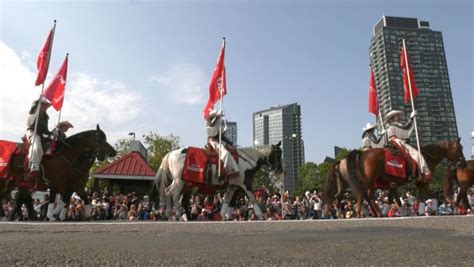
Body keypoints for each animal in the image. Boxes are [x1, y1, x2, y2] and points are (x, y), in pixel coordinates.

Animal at [324, 139, 464, 219]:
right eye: (459, 148)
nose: (462, 162)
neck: (427, 156)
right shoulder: (423, 182)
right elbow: (419, 199)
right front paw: (416, 211)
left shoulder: (407, 184)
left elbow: (433, 196)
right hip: (368, 180)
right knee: (362, 194)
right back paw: (358, 213)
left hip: (366, 182)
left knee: (363, 196)